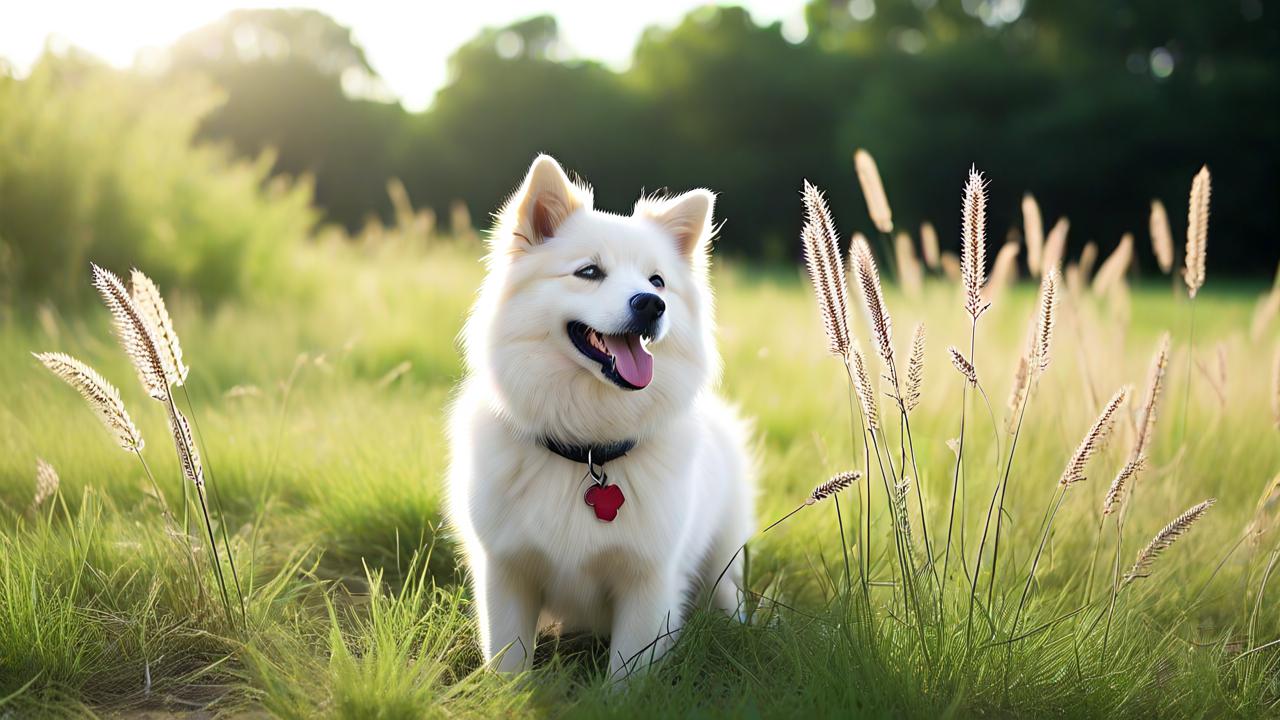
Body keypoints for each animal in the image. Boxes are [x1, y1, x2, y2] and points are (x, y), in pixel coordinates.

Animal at [448, 154, 752, 676]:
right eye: (589, 272)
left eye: (657, 281)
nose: (652, 304)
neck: (588, 445)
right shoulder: (505, 572)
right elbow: (508, 666)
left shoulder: (648, 583)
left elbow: (626, 676)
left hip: (724, 556)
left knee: (730, 595)